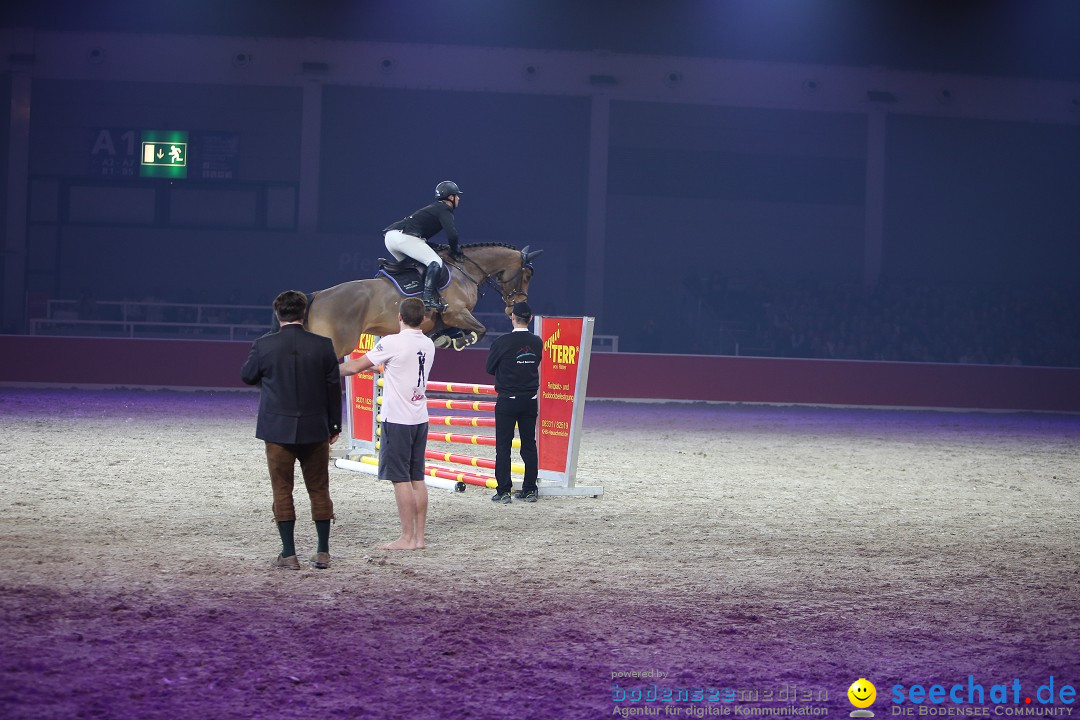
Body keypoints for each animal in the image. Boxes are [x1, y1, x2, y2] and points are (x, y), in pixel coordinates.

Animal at [304, 241, 540, 358]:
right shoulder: (456, 313)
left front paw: (444, 339)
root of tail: (317, 295)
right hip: (337, 344)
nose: (514, 307)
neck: (465, 270)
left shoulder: (448, 319)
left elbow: (450, 331)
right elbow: (480, 330)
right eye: (527, 275)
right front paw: (460, 342)